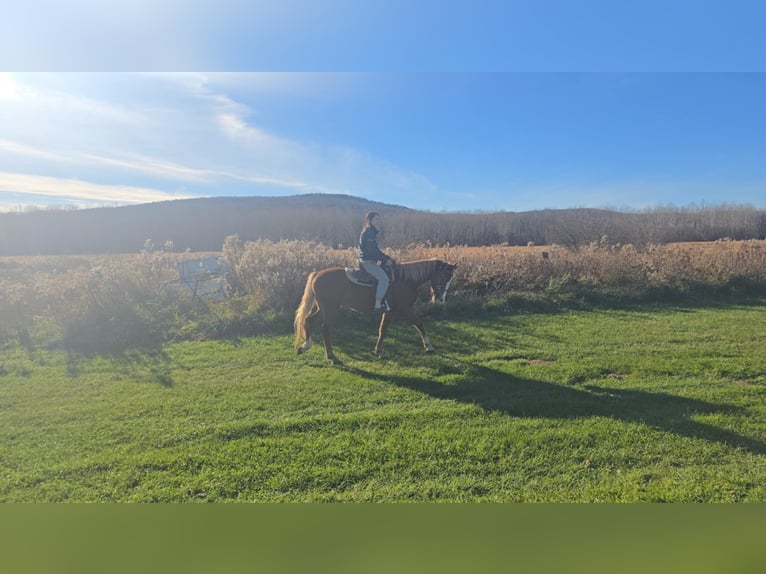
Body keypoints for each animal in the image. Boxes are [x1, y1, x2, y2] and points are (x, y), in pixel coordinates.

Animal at [294, 260, 456, 366]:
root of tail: (316, 274)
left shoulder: (390, 312)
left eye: (450, 279)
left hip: (323, 308)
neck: (405, 279)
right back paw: (332, 356)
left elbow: (382, 330)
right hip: (330, 309)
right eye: (444, 276)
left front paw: (378, 351)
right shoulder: (404, 309)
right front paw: (429, 346)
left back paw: (305, 347)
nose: (441, 299)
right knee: (325, 329)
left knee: (309, 321)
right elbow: (419, 323)